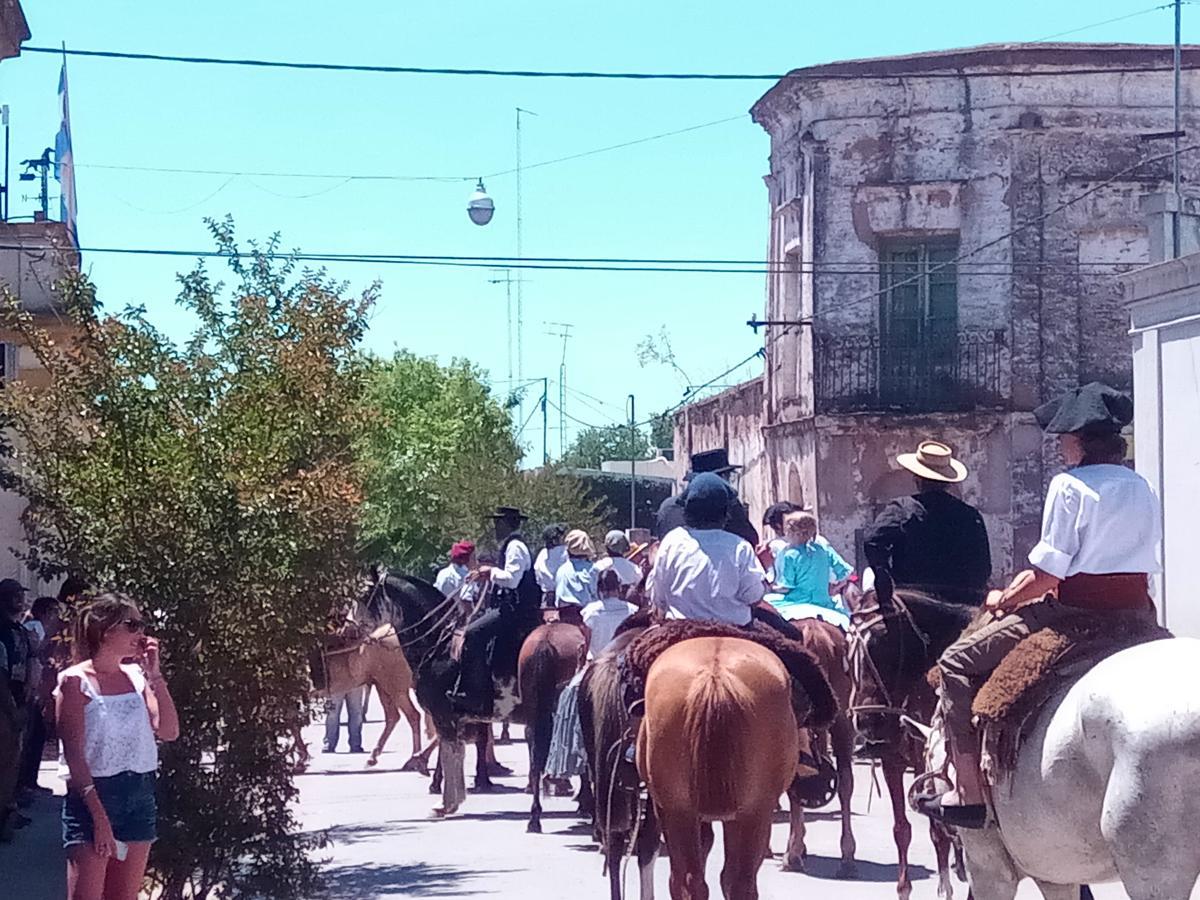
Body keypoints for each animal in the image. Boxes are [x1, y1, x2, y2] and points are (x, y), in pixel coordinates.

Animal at [854, 592, 974, 900]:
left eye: (882, 642)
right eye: (849, 652)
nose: (865, 719)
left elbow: (939, 830)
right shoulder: (893, 761)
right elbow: (902, 830)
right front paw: (904, 888)